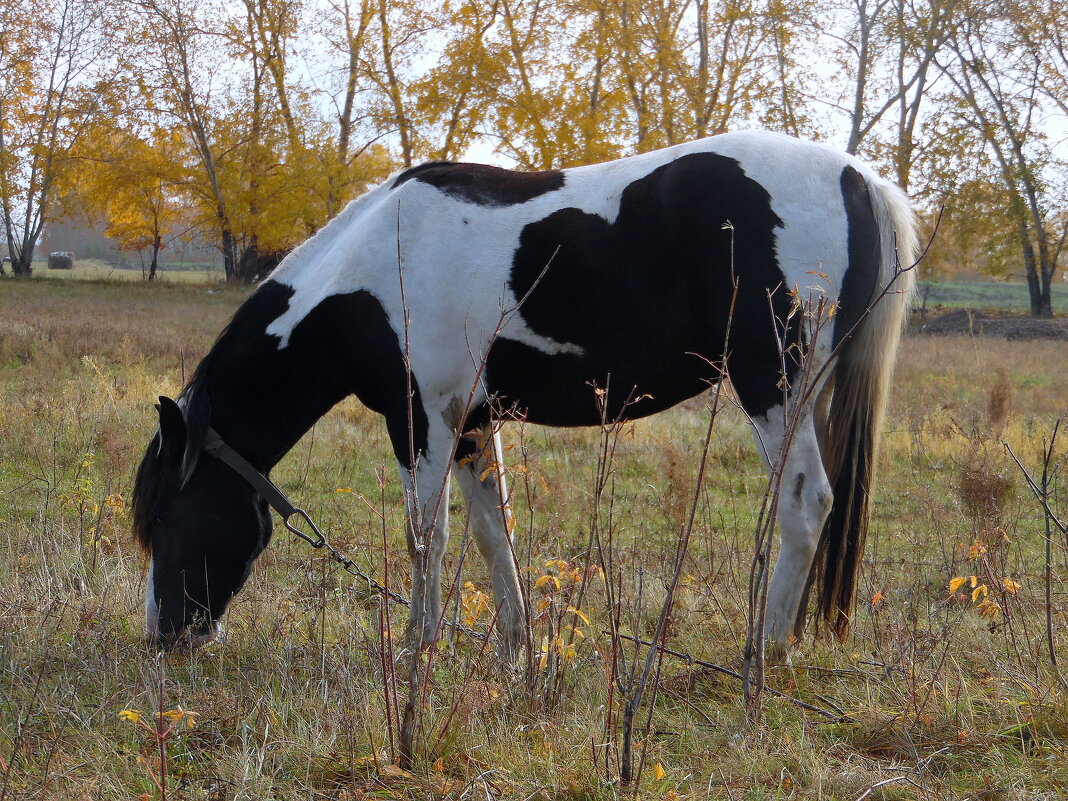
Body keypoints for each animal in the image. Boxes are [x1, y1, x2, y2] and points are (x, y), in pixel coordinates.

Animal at [133, 130, 918, 657]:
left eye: (167, 516)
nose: (165, 637)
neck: (375, 272)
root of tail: (855, 176)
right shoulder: (474, 423)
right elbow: (491, 531)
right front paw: (514, 647)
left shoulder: (422, 422)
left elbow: (427, 536)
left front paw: (419, 646)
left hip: (773, 387)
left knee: (807, 501)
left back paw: (766, 651)